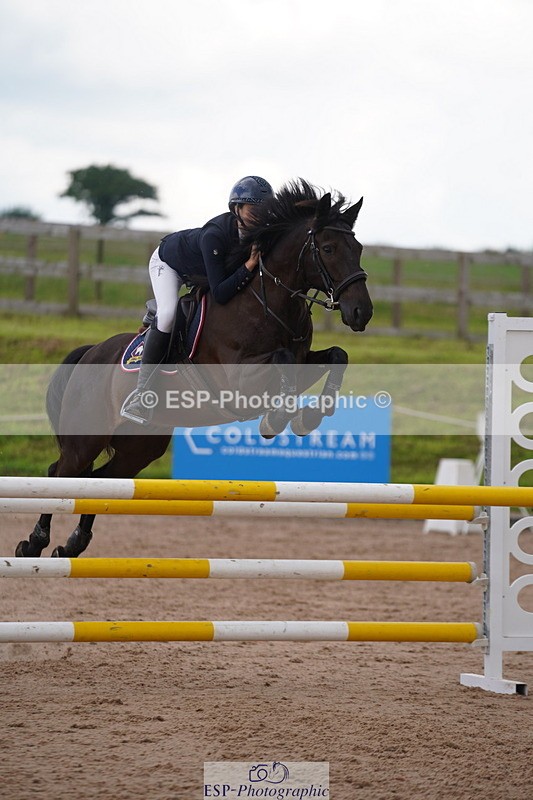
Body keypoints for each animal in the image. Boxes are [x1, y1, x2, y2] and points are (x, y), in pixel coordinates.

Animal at [15, 179, 373, 559]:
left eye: (358, 248)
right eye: (328, 248)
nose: (361, 312)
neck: (269, 302)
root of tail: (91, 353)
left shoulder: (303, 358)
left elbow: (337, 356)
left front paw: (310, 417)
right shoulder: (239, 379)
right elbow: (283, 361)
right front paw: (277, 419)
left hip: (141, 444)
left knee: (99, 481)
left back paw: (73, 544)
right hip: (87, 436)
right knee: (61, 473)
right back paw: (34, 543)